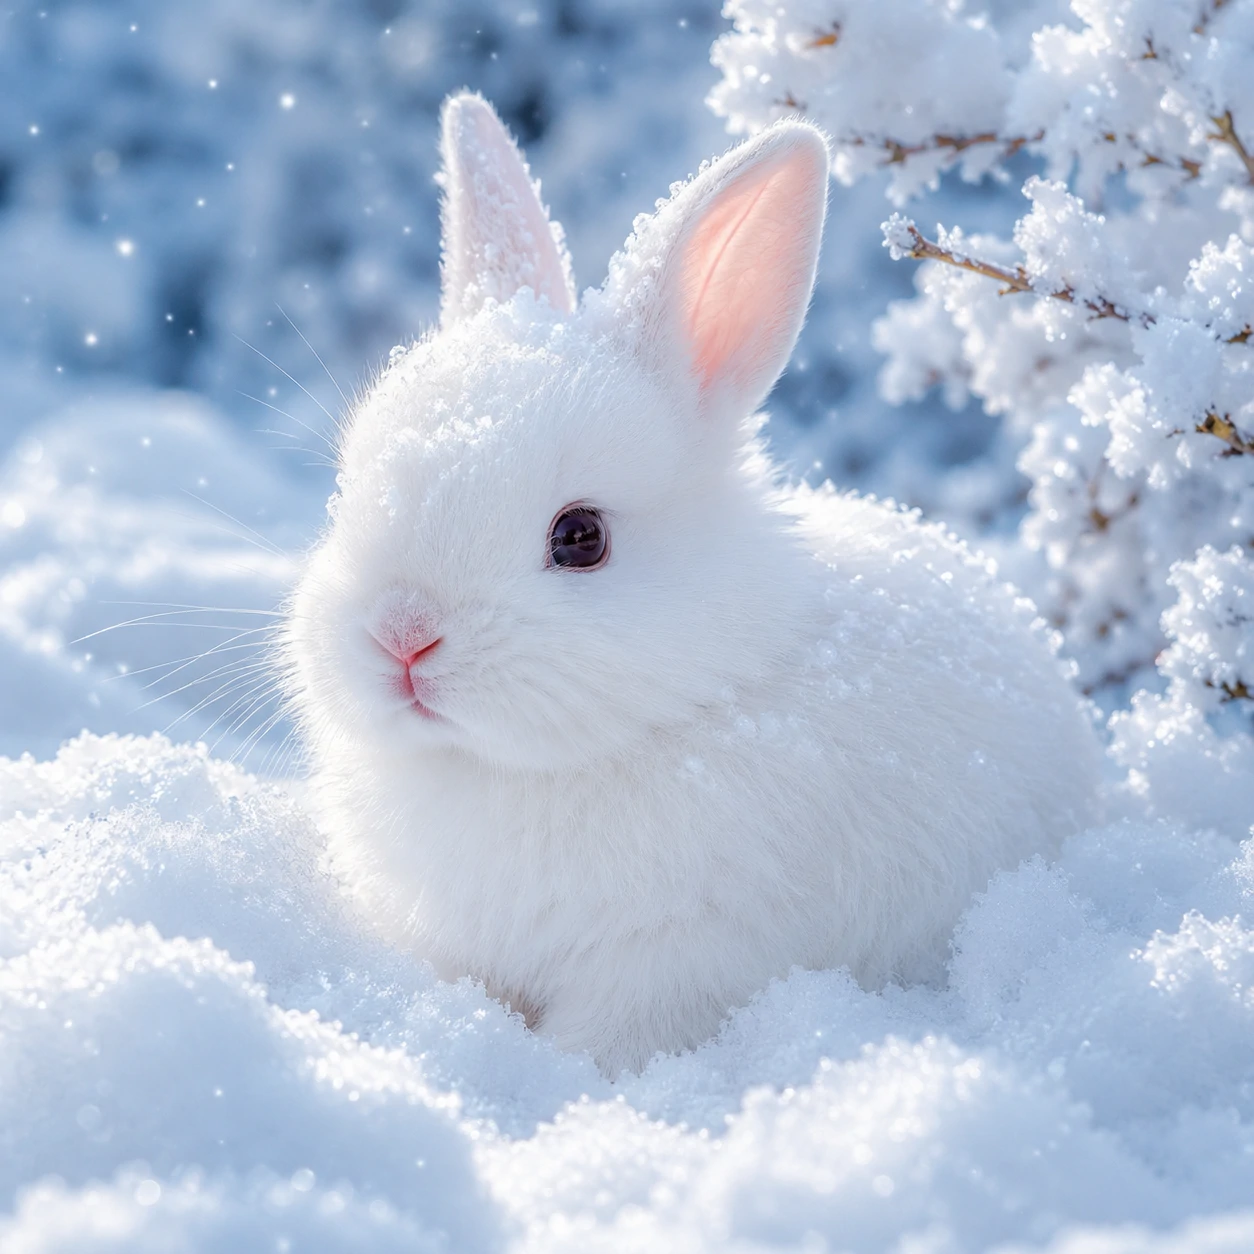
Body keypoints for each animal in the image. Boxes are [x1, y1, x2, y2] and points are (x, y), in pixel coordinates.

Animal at [285, 91, 1102, 1078]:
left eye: (581, 537)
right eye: (348, 488)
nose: (402, 635)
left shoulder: (677, 958)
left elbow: (613, 1037)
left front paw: (563, 1081)